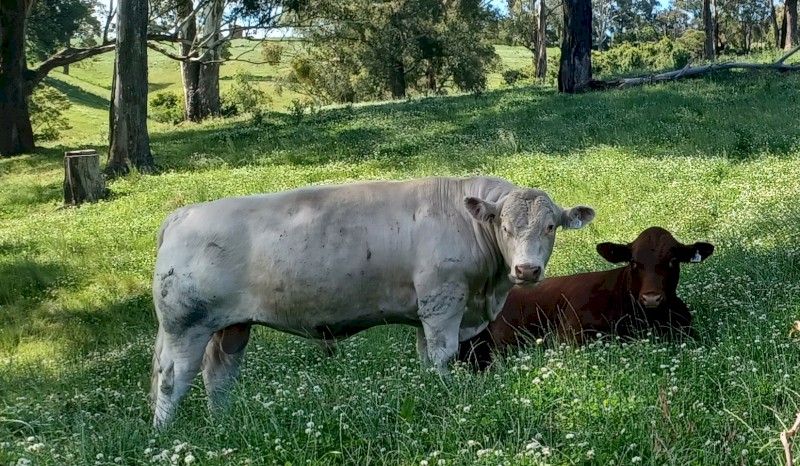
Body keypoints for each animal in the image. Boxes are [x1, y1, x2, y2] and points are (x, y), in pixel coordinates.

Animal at [150, 176, 595, 426]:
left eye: (550, 226)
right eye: (504, 225)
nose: (527, 270)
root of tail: (180, 215)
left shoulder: (426, 315)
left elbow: (426, 359)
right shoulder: (443, 303)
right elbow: (444, 357)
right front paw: (446, 397)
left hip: (230, 328)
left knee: (218, 376)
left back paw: (221, 425)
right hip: (185, 326)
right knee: (172, 379)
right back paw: (164, 433)